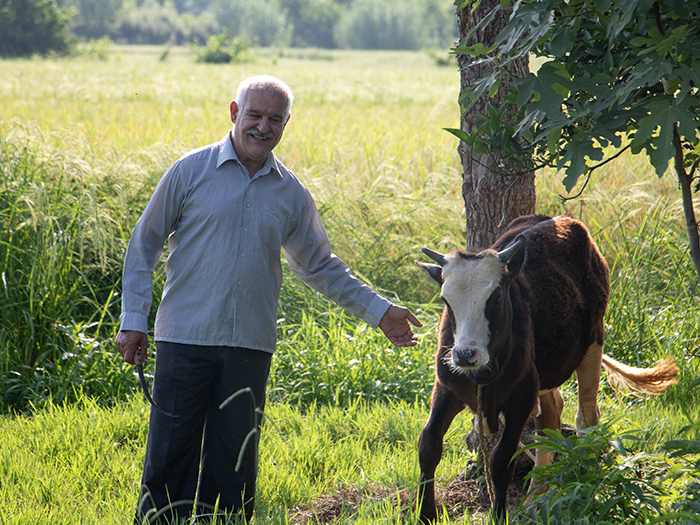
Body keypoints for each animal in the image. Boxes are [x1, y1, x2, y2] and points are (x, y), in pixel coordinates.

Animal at [416, 213, 680, 520]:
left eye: (495, 297)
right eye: (445, 300)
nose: (464, 355)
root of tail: (560, 218)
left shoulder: (521, 396)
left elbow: (501, 460)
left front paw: (499, 515)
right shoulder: (446, 388)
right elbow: (429, 445)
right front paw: (424, 514)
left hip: (593, 344)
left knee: (586, 418)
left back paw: (584, 483)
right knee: (550, 422)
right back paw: (534, 499)